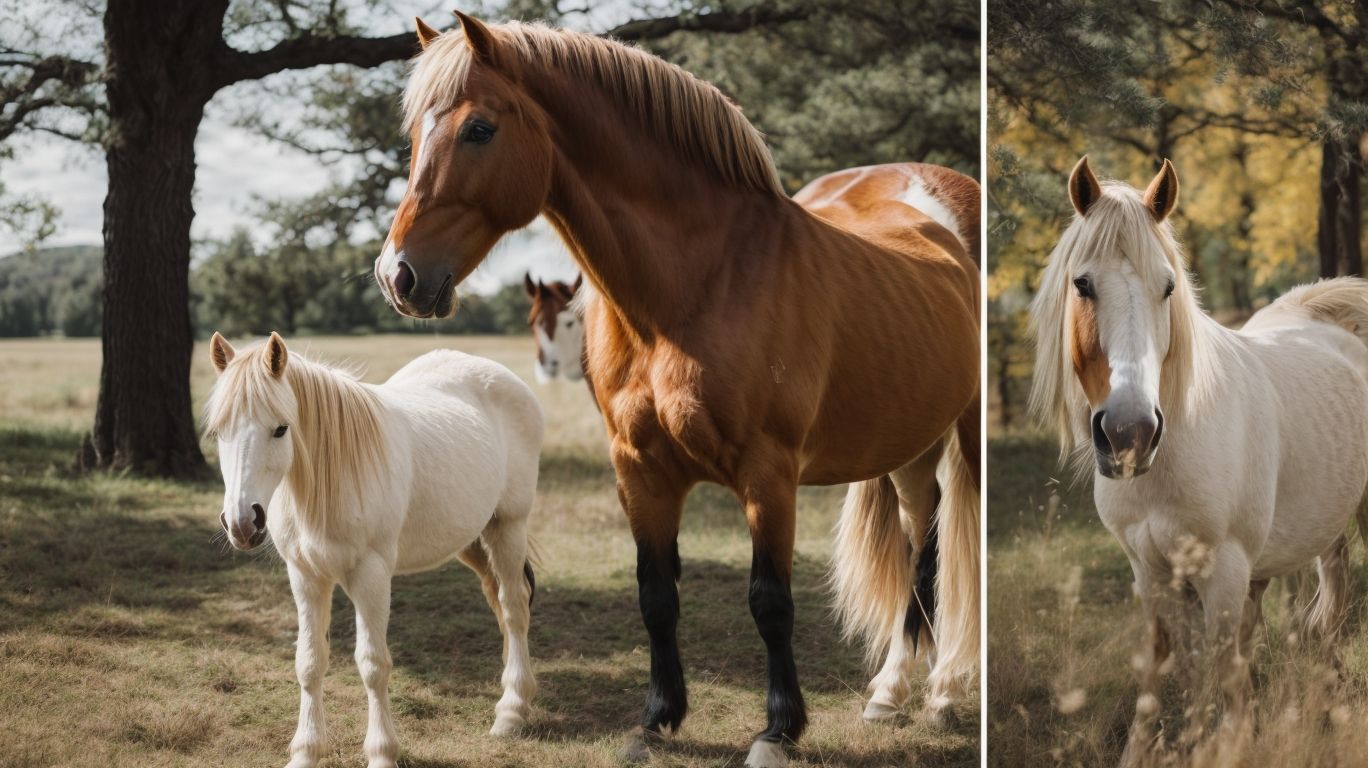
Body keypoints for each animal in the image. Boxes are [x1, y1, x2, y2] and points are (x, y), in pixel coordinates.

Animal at [204, 332, 544, 768]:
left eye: (281, 429)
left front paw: (382, 752)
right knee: (498, 603)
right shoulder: (306, 576)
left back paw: (511, 711)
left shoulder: (371, 575)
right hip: (472, 538)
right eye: (219, 432)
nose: (243, 523)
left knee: (514, 607)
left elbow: (372, 664)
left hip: (508, 526)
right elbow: (309, 662)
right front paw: (305, 751)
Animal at [374, 17, 981, 767]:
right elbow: (655, 594)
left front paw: (778, 729)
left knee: (949, 556)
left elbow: (770, 601)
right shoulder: (639, 469)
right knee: (920, 542)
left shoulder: (768, 475)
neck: (699, 283)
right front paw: (659, 718)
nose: (397, 276)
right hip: (908, 446)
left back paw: (944, 694)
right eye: (414, 134)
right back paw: (889, 694)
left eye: (479, 129)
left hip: (965, 436)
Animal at [1029, 156, 1368, 765]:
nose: (1130, 431)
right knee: (1329, 601)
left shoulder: (1225, 570)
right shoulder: (1151, 571)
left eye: (1168, 286)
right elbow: (1169, 668)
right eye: (1083, 284)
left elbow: (1223, 670)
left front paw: (1227, 745)